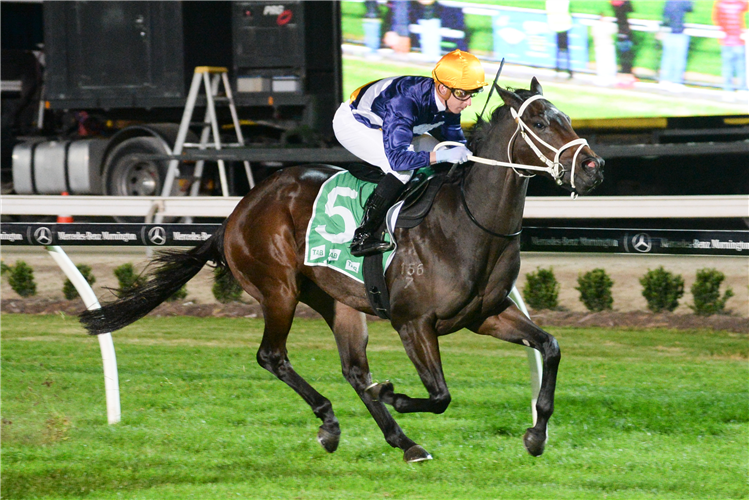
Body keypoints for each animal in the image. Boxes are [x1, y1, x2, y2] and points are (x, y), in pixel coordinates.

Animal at [83, 77, 600, 460]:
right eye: (540, 121)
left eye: (567, 118)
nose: (593, 167)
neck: (466, 223)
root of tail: (236, 213)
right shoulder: (414, 323)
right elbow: (439, 395)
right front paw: (394, 394)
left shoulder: (485, 315)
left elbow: (550, 348)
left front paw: (536, 435)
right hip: (279, 290)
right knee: (273, 356)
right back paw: (331, 422)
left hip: (339, 301)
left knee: (353, 370)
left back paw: (404, 442)